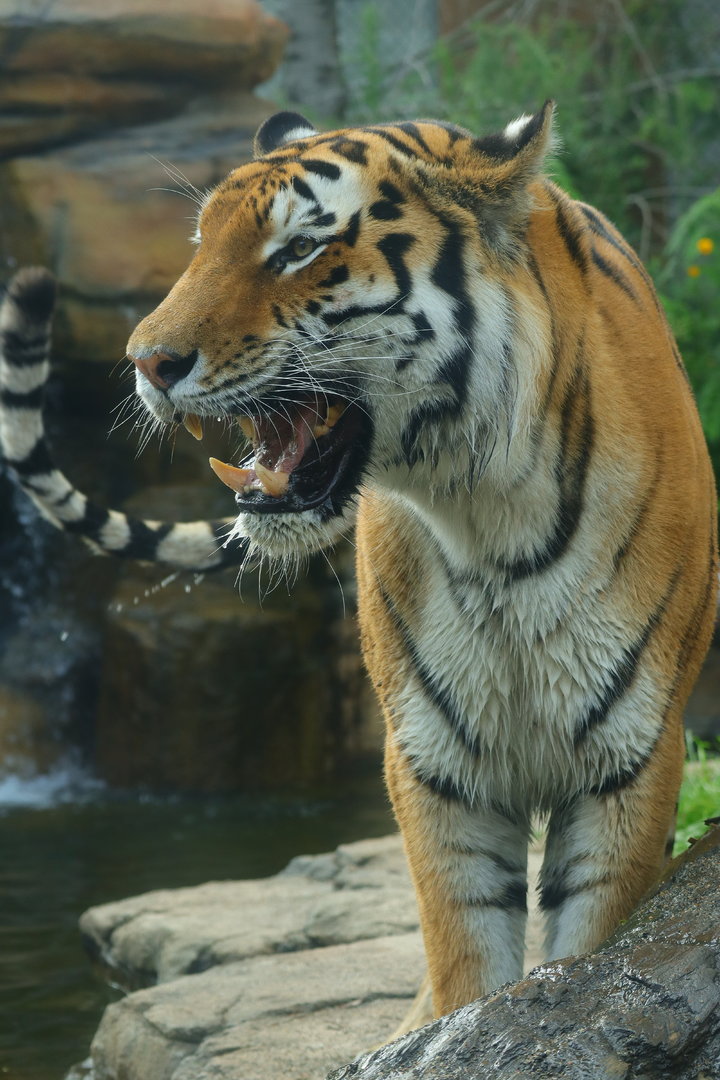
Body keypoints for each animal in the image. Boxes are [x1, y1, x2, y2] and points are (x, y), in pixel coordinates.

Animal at [1, 102, 716, 1029]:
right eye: (201, 243)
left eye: (300, 249)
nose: (145, 362)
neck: (490, 516)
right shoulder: (434, 762)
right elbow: (464, 958)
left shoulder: (629, 758)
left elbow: (586, 946)